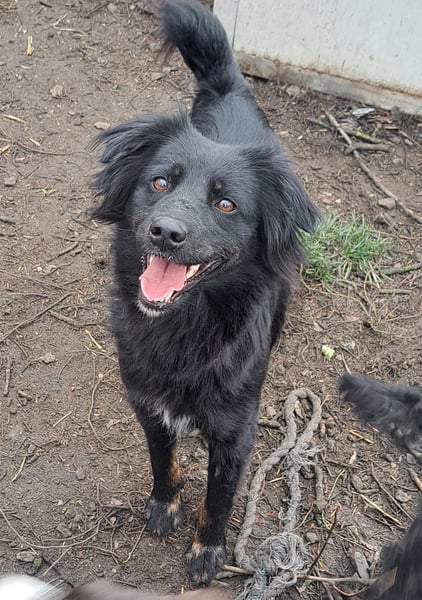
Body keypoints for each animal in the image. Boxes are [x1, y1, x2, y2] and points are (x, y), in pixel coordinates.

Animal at [91, 0, 318, 585]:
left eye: (226, 204)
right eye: (160, 182)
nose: (166, 232)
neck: (185, 324)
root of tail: (229, 87)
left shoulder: (237, 431)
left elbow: (219, 498)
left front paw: (207, 550)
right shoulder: (147, 402)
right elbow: (162, 460)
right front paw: (164, 505)